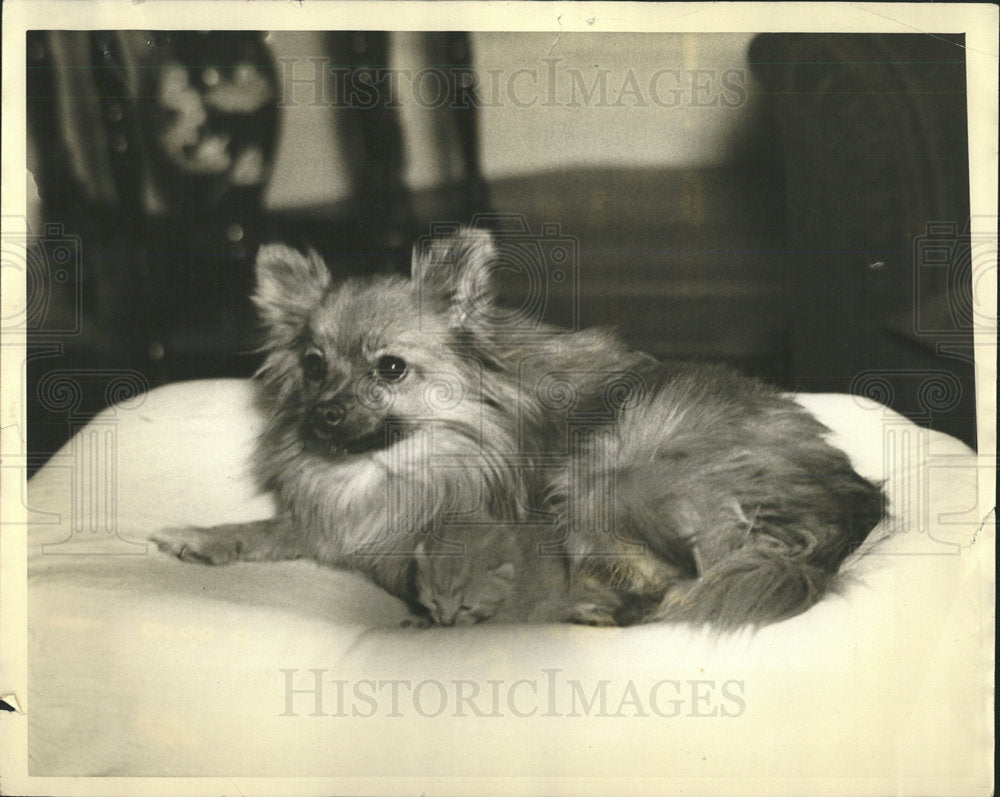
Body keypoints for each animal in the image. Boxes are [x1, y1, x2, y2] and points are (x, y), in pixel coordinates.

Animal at [152, 230, 888, 628]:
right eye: (312, 366)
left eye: (390, 368)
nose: (325, 413)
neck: (394, 466)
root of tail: (849, 500)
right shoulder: (337, 523)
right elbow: (276, 528)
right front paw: (204, 537)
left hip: (607, 474)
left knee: (683, 578)